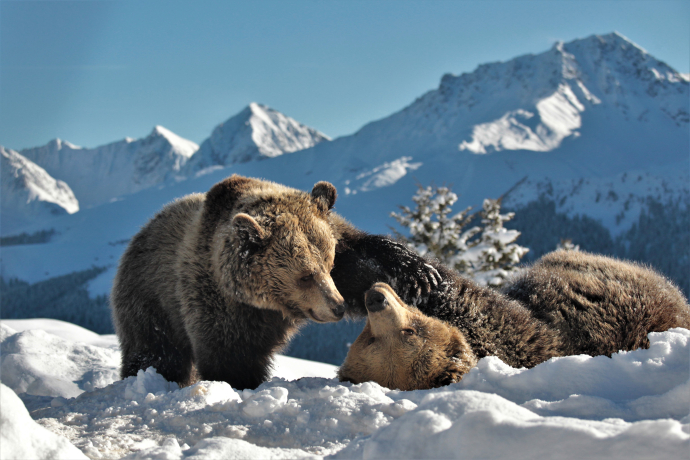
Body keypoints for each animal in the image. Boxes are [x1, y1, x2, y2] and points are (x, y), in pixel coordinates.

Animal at [111, 174, 441, 390]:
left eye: (329, 264)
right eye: (305, 276)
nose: (337, 307)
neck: (268, 304)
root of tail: (145, 228)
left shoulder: (344, 251)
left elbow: (371, 260)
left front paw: (421, 276)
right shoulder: (218, 300)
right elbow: (231, 357)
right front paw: (240, 383)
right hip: (152, 298)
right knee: (157, 351)